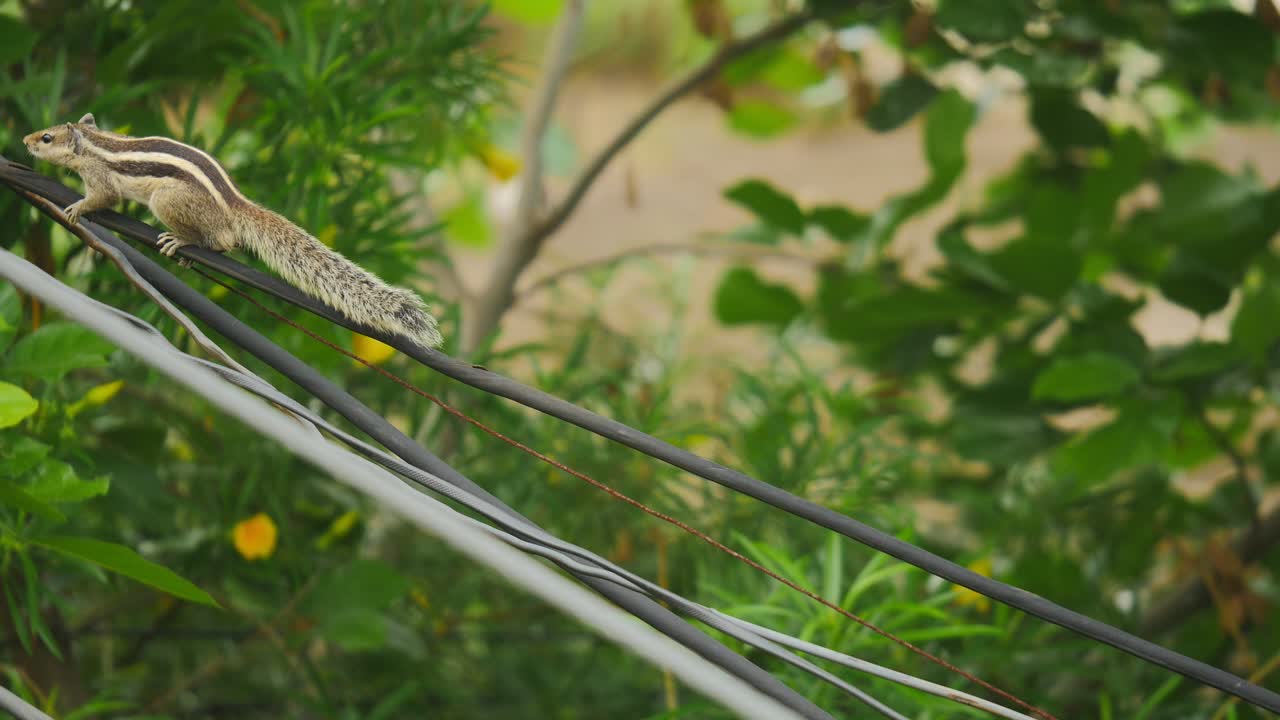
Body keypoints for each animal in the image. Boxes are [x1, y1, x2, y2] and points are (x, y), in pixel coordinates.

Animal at [22, 113, 443, 348]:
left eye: (46, 137)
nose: (25, 140)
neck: (96, 143)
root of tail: (234, 204)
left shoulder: (101, 177)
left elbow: (103, 198)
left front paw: (79, 208)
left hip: (167, 201)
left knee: (223, 238)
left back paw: (184, 240)